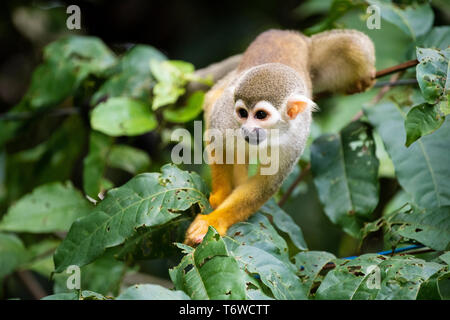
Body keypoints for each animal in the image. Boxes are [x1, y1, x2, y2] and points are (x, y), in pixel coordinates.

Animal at [184, 29, 376, 245]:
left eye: (260, 115)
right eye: (242, 113)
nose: (246, 129)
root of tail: (289, 34)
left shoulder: (296, 138)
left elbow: (267, 183)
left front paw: (214, 221)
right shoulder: (227, 115)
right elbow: (219, 141)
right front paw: (220, 195)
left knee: (353, 45)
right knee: (214, 98)